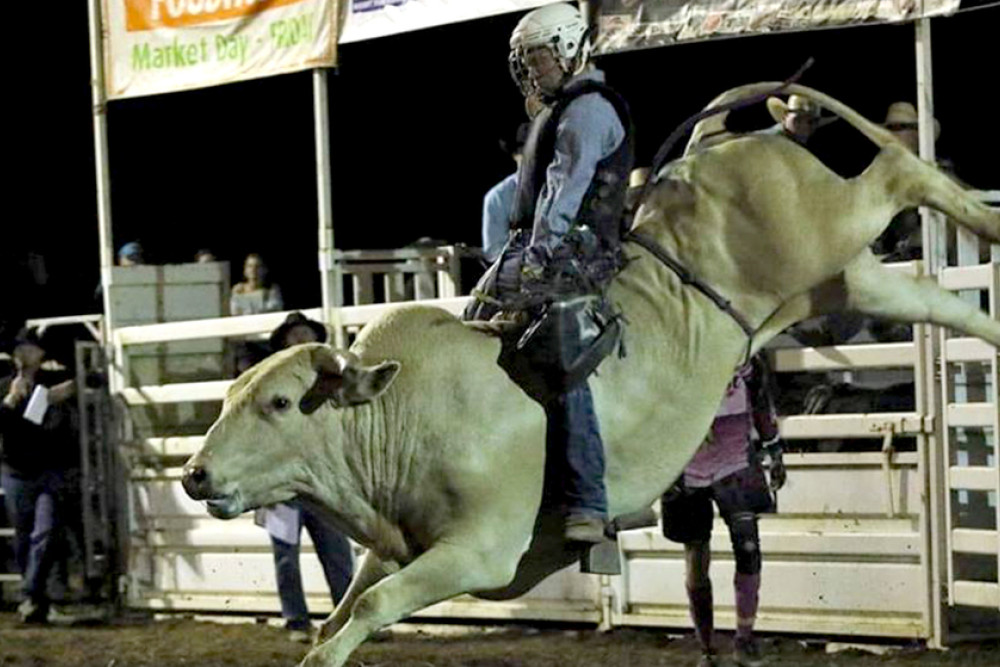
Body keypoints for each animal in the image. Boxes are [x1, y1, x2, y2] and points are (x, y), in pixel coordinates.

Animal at [182, 85, 1000, 667]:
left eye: (280, 402)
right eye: (231, 397)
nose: (194, 474)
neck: (402, 411)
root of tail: (730, 143)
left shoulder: (480, 551)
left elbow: (374, 606)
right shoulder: (398, 544)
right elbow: (345, 609)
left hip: (826, 227)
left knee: (897, 171)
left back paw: (983, 221)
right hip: (839, 278)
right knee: (933, 296)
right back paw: (993, 307)